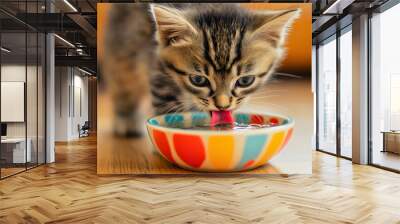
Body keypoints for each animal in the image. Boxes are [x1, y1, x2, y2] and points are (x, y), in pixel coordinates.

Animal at [103, 3, 300, 136]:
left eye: (245, 81)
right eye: (198, 80)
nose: (222, 105)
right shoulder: (159, 73)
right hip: (123, 52)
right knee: (123, 83)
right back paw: (126, 120)